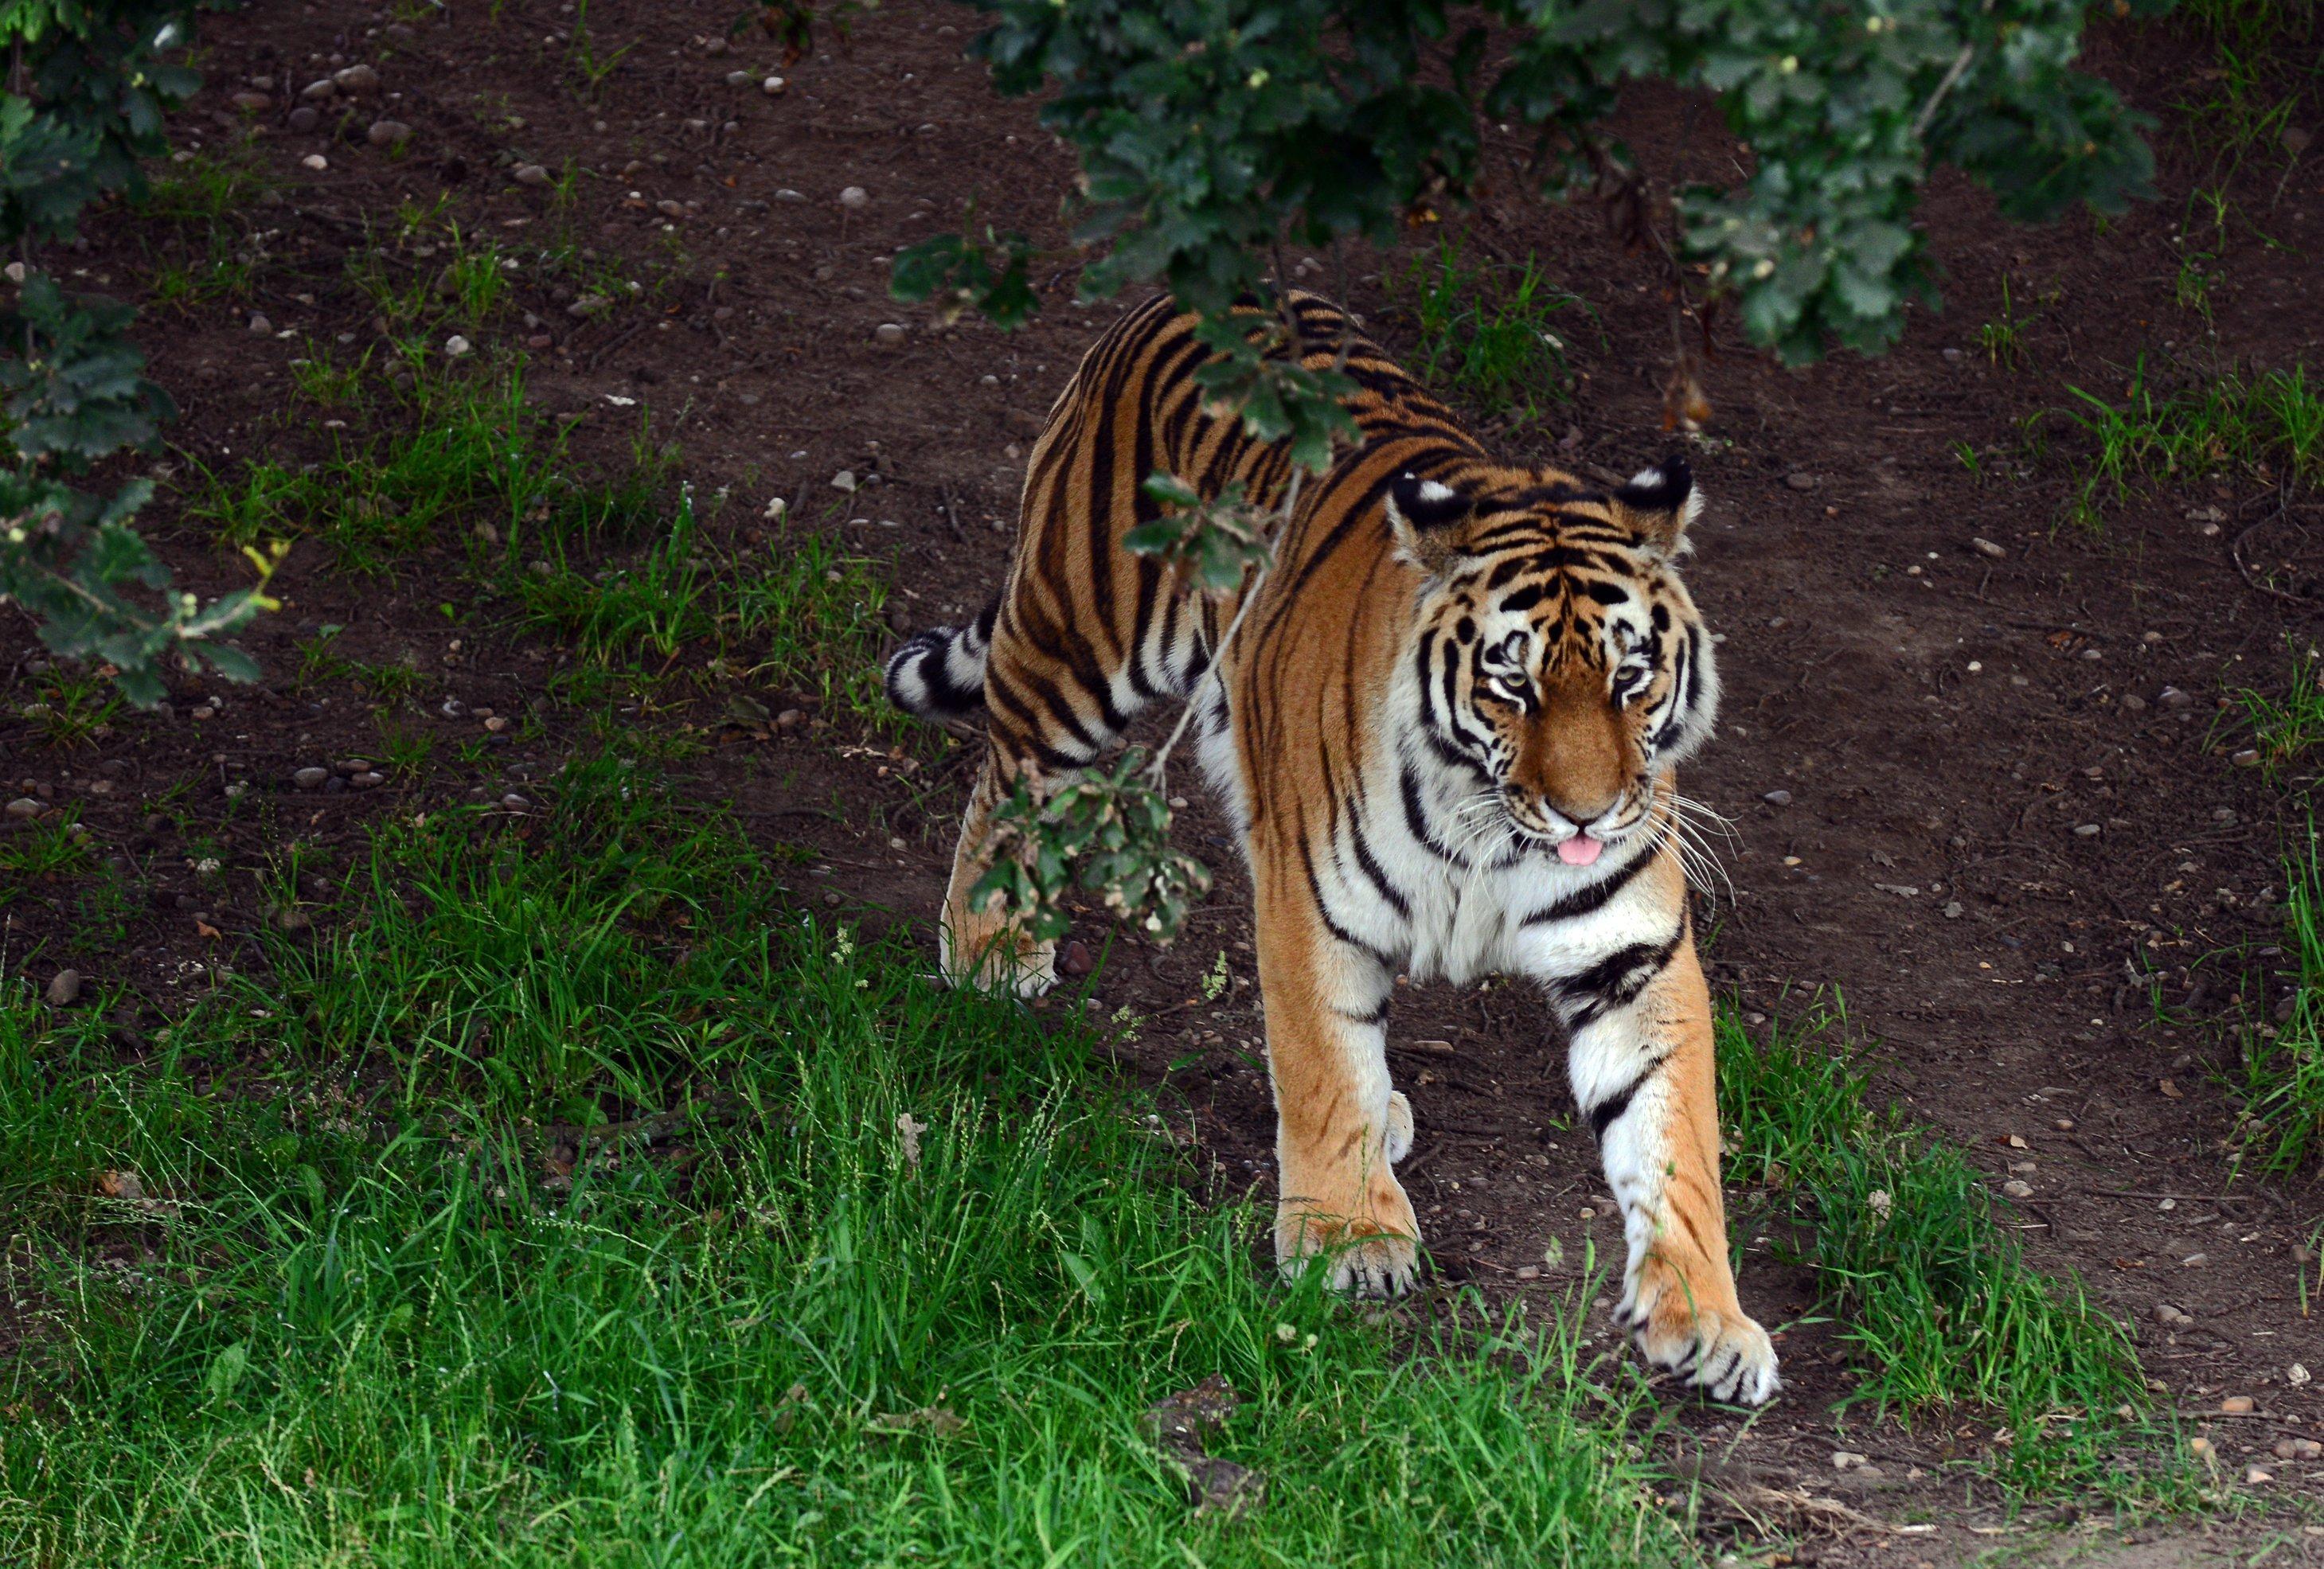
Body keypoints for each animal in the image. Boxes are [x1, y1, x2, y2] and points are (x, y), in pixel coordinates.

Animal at [888, 288, 1775, 1403]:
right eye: (1513, 683)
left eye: (1631, 678)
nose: (1590, 813)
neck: (1494, 829)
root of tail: (1192, 292)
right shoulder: (1309, 907)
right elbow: (1321, 1065)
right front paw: (1349, 1238)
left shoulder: (1634, 958)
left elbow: (1675, 1139)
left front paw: (1708, 1318)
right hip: (1077, 646)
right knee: (1009, 775)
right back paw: (990, 951)